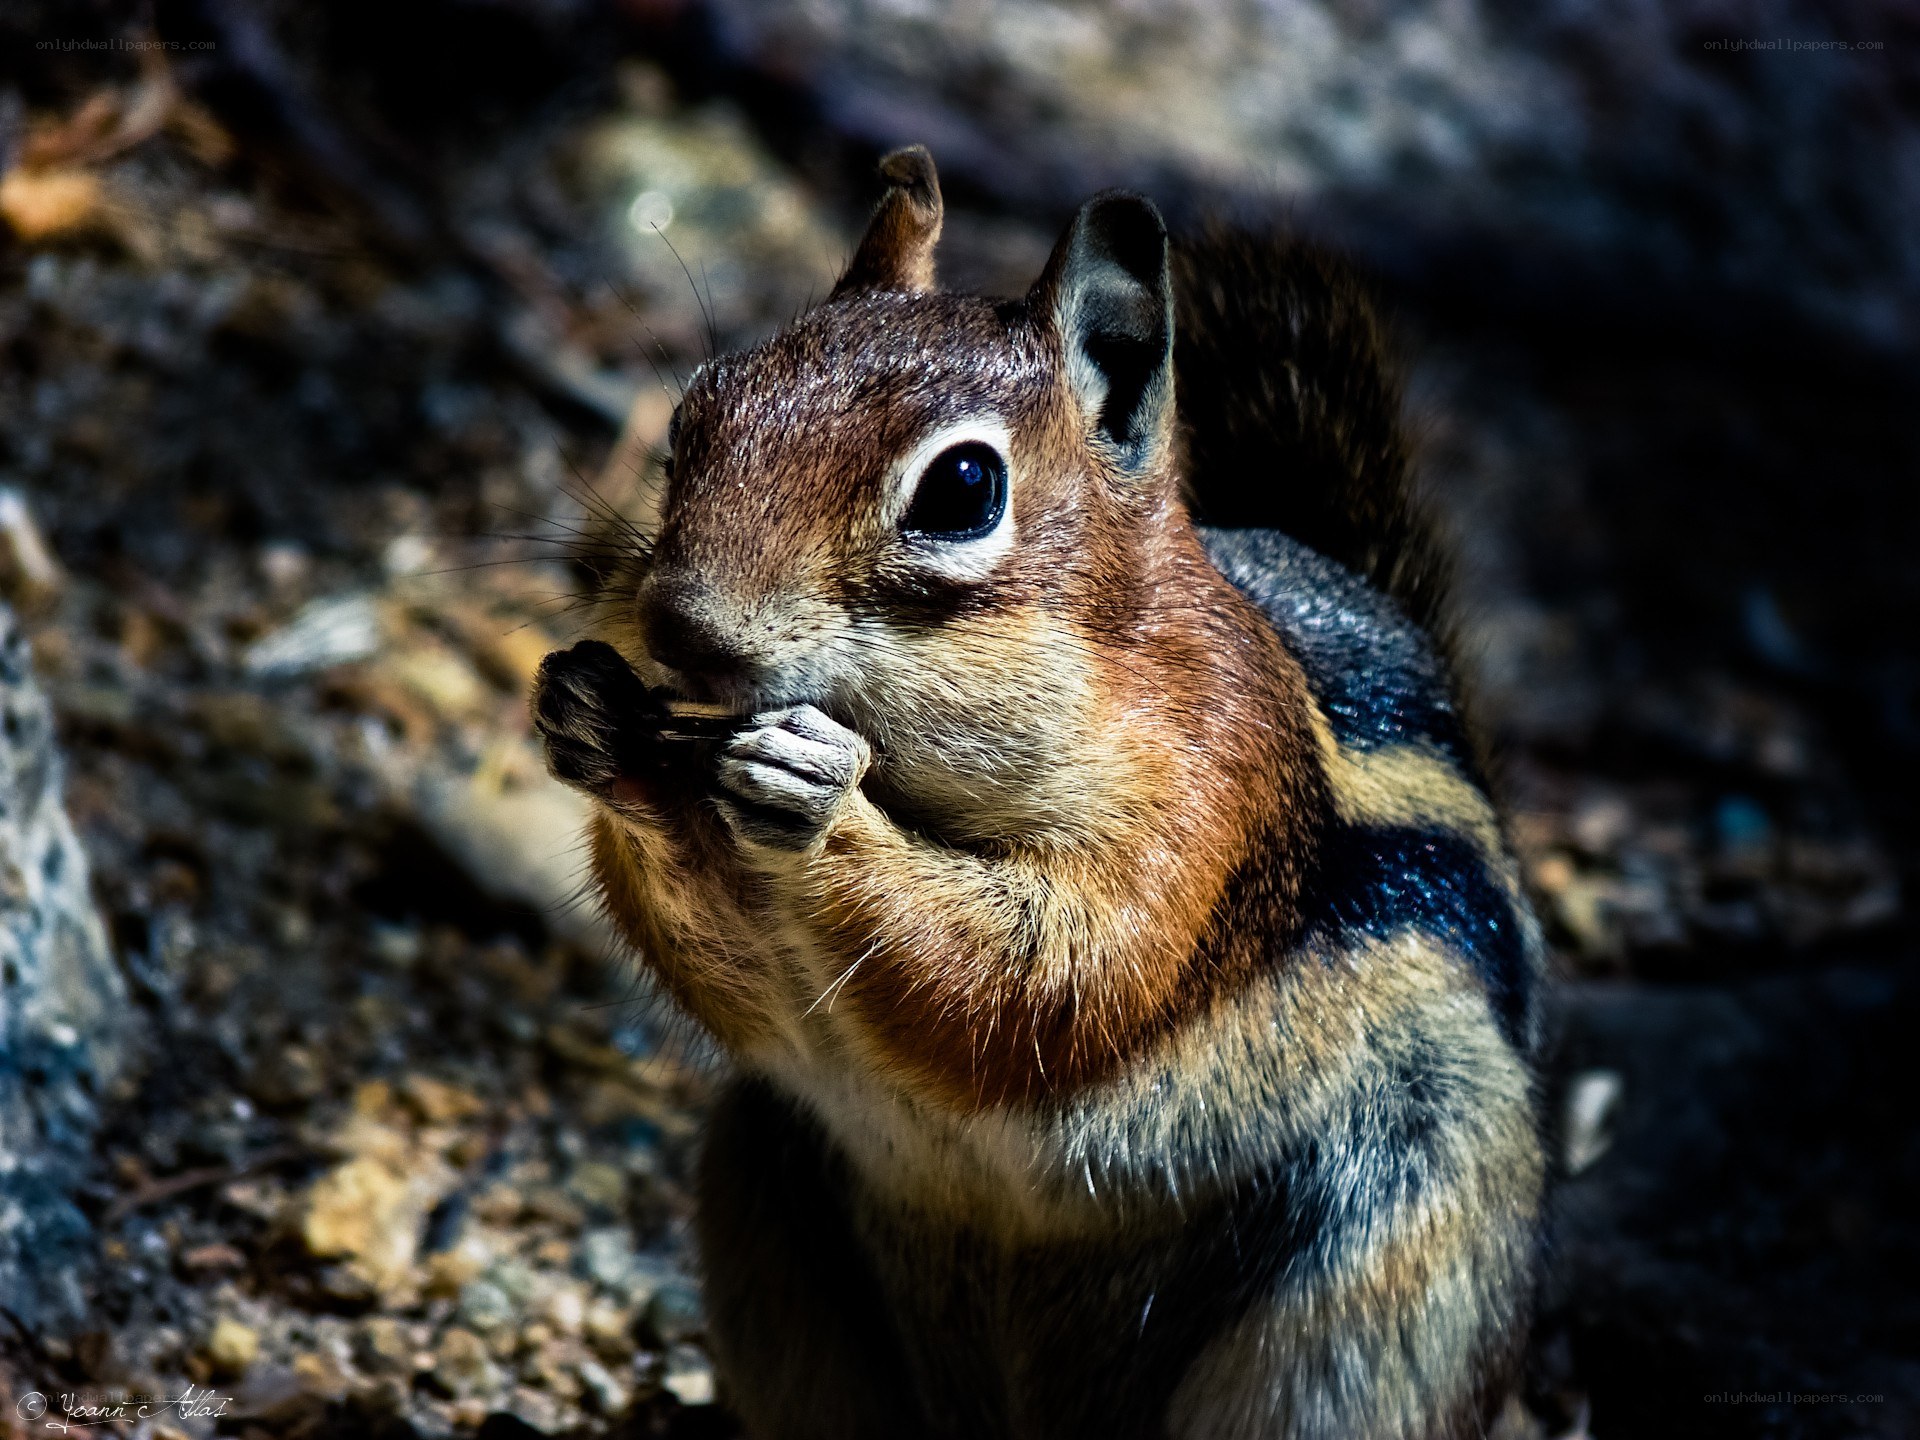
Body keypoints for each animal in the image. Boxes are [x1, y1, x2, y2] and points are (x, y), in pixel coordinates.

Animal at [532, 146, 1545, 1440]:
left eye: (963, 486)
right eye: (695, 412)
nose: (677, 627)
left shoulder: (1211, 792)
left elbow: (1054, 975)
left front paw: (816, 795)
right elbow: (738, 988)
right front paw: (590, 720)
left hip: (1376, 1298)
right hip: (765, 1210)